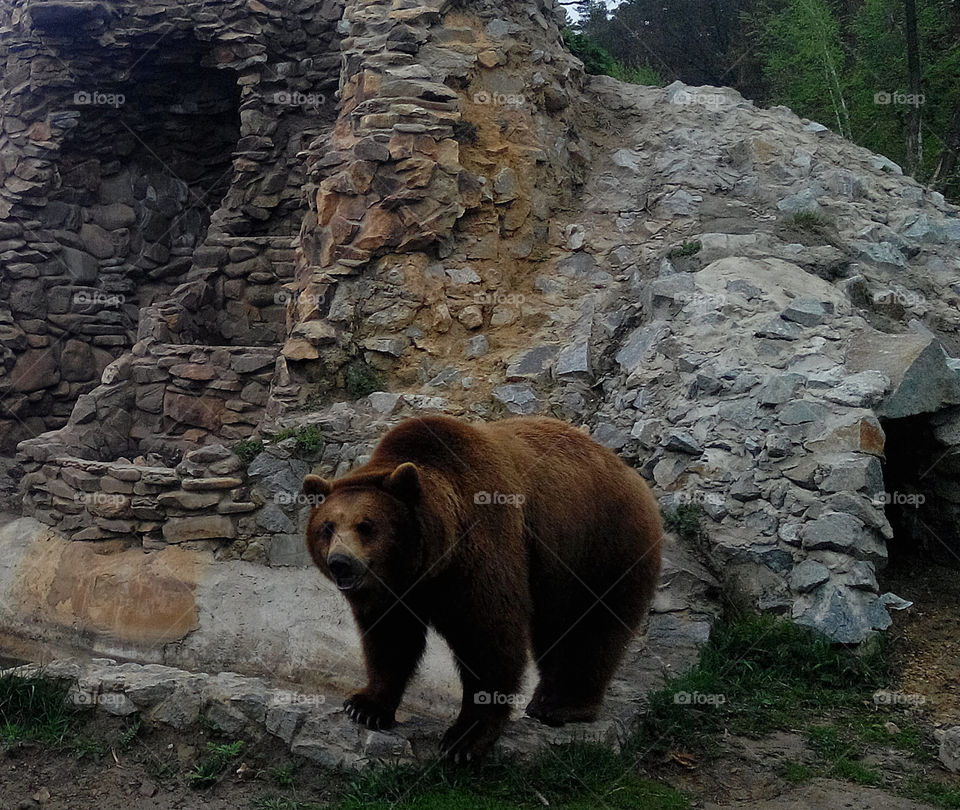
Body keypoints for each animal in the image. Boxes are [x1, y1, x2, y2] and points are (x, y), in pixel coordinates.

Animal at [303, 415, 662, 762]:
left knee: (594, 626)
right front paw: (366, 706)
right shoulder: (397, 592)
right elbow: (391, 638)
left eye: (366, 526)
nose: (341, 562)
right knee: (554, 629)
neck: (430, 562)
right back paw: (544, 699)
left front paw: (464, 738)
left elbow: (488, 637)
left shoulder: (481, 553)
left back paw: (563, 704)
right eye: (327, 527)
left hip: (604, 544)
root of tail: (629, 471)